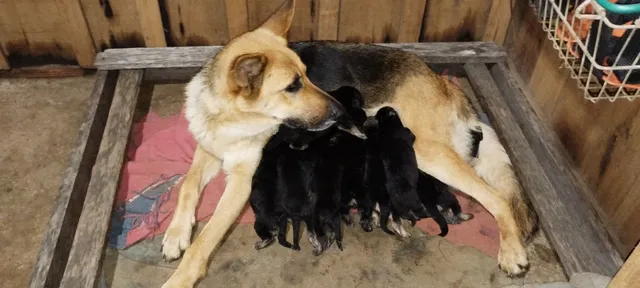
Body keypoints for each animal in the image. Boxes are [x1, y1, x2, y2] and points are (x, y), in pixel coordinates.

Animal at [159, 1, 536, 286]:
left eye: (306, 75)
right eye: (293, 86)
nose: (339, 110)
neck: (225, 114)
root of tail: (441, 80)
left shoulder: (241, 181)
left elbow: (204, 241)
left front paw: (180, 276)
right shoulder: (209, 147)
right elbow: (187, 185)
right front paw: (176, 233)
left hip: (429, 152)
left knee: (498, 198)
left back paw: (512, 252)